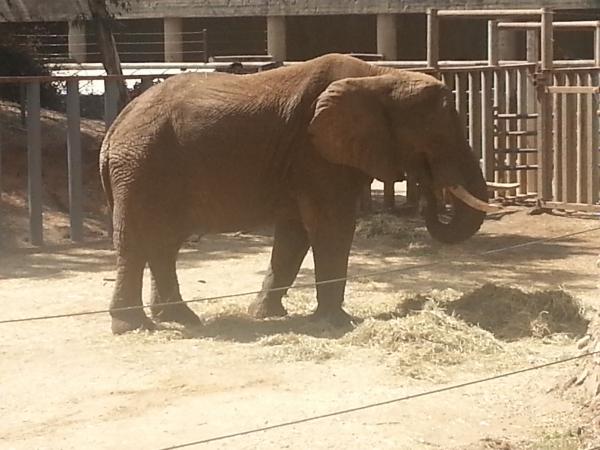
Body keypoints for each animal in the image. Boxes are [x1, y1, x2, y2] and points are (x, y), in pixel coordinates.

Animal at [101, 52, 496, 334]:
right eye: (436, 138)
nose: (429, 189)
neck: (378, 75)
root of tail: (116, 124)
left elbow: (295, 232)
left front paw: (265, 315)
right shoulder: (315, 153)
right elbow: (332, 226)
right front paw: (339, 323)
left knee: (163, 242)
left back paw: (180, 318)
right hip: (141, 165)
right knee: (138, 240)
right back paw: (134, 326)